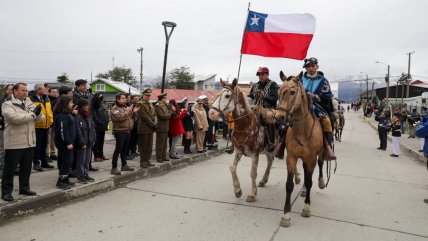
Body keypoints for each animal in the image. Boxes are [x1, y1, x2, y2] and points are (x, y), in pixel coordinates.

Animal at [276, 70, 326, 227]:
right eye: (279, 91)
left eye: (292, 92)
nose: (279, 117)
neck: (303, 131)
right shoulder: (291, 157)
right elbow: (289, 185)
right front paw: (286, 214)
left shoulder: (311, 159)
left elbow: (310, 182)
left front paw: (306, 208)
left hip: (319, 154)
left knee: (321, 164)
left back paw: (321, 182)